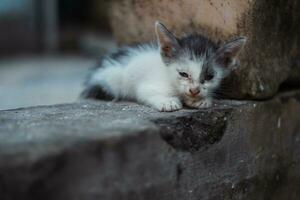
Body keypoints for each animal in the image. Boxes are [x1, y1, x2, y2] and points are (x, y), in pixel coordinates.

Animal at [80, 22, 246, 112]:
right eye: (183, 74)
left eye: (209, 76)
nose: (194, 91)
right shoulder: (146, 86)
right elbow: (146, 92)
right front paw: (168, 102)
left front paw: (202, 99)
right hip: (113, 79)